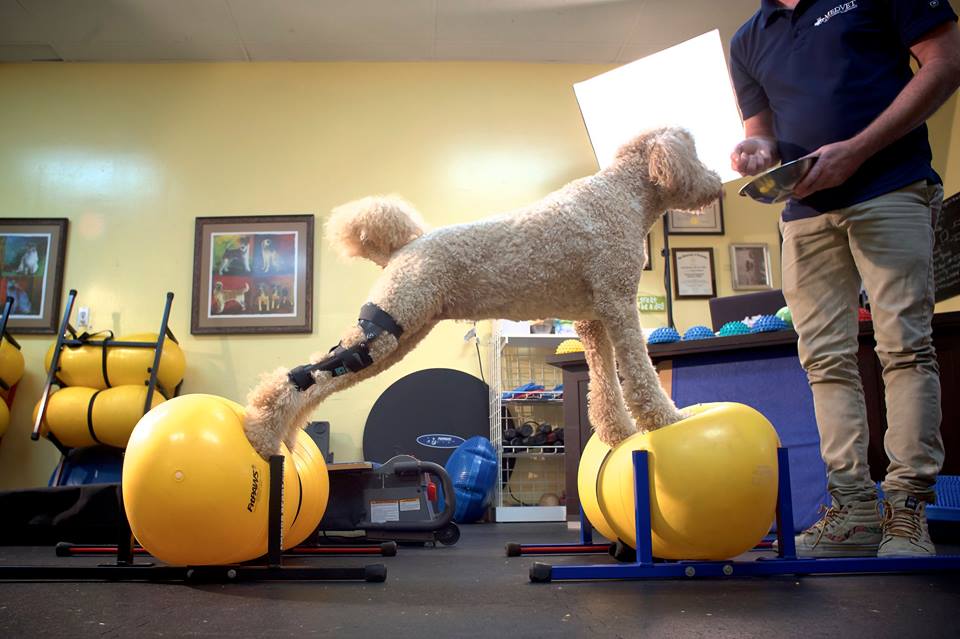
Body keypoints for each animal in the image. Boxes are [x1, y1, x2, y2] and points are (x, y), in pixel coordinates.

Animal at [244, 127, 724, 460]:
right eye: (695, 151)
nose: (718, 183)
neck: (619, 194)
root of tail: (404, 246)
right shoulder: (620, 305)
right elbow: (640, 376)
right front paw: (667, 419)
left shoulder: (594, 319)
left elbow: (604, 385)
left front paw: (618, 432)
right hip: (387, 329)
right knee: (302, 376)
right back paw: (262, 434)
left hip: (401, 334)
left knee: (316, 383)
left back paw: (285, 438)